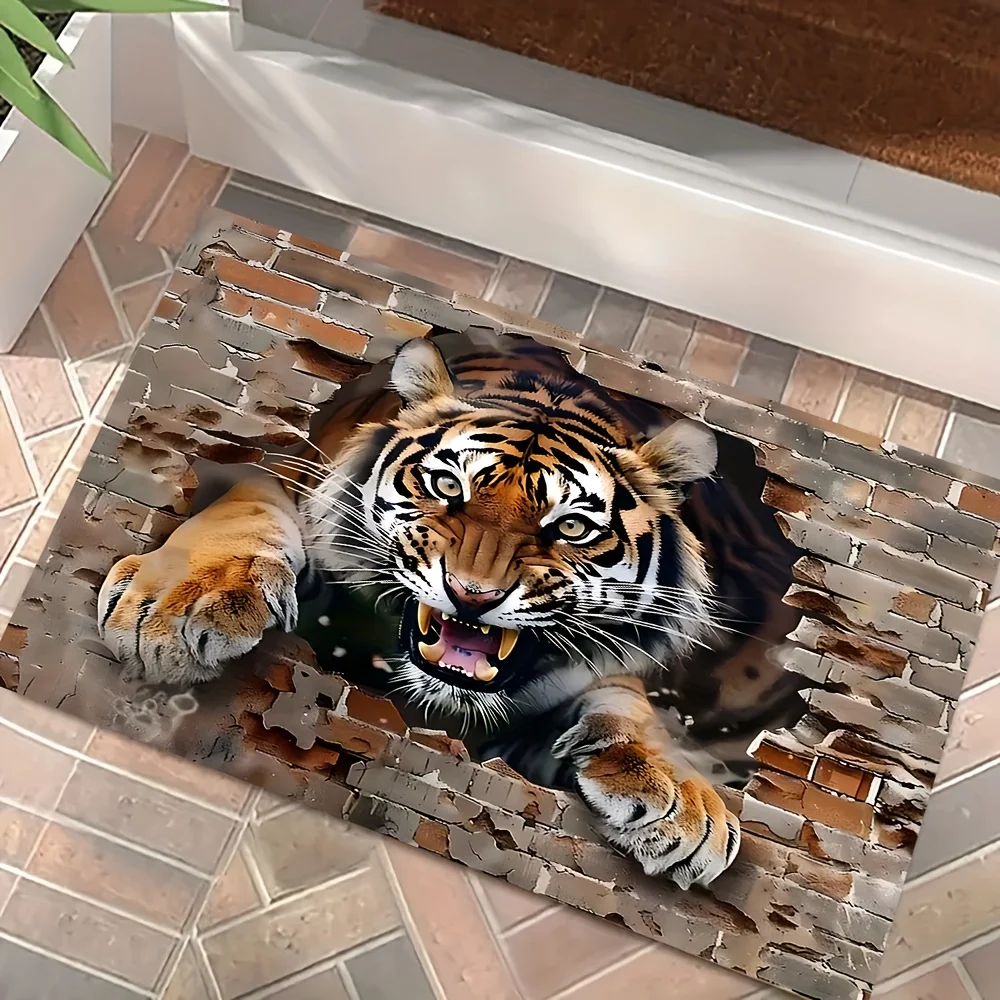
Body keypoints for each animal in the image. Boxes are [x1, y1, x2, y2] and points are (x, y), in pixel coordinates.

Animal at [97, 331, 804, 891]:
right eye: (446, 486)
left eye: (572, 527)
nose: (472, 594)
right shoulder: (273, 463)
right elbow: (249, 502)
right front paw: (171, 612)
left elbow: (626, 699)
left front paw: (685, 799)